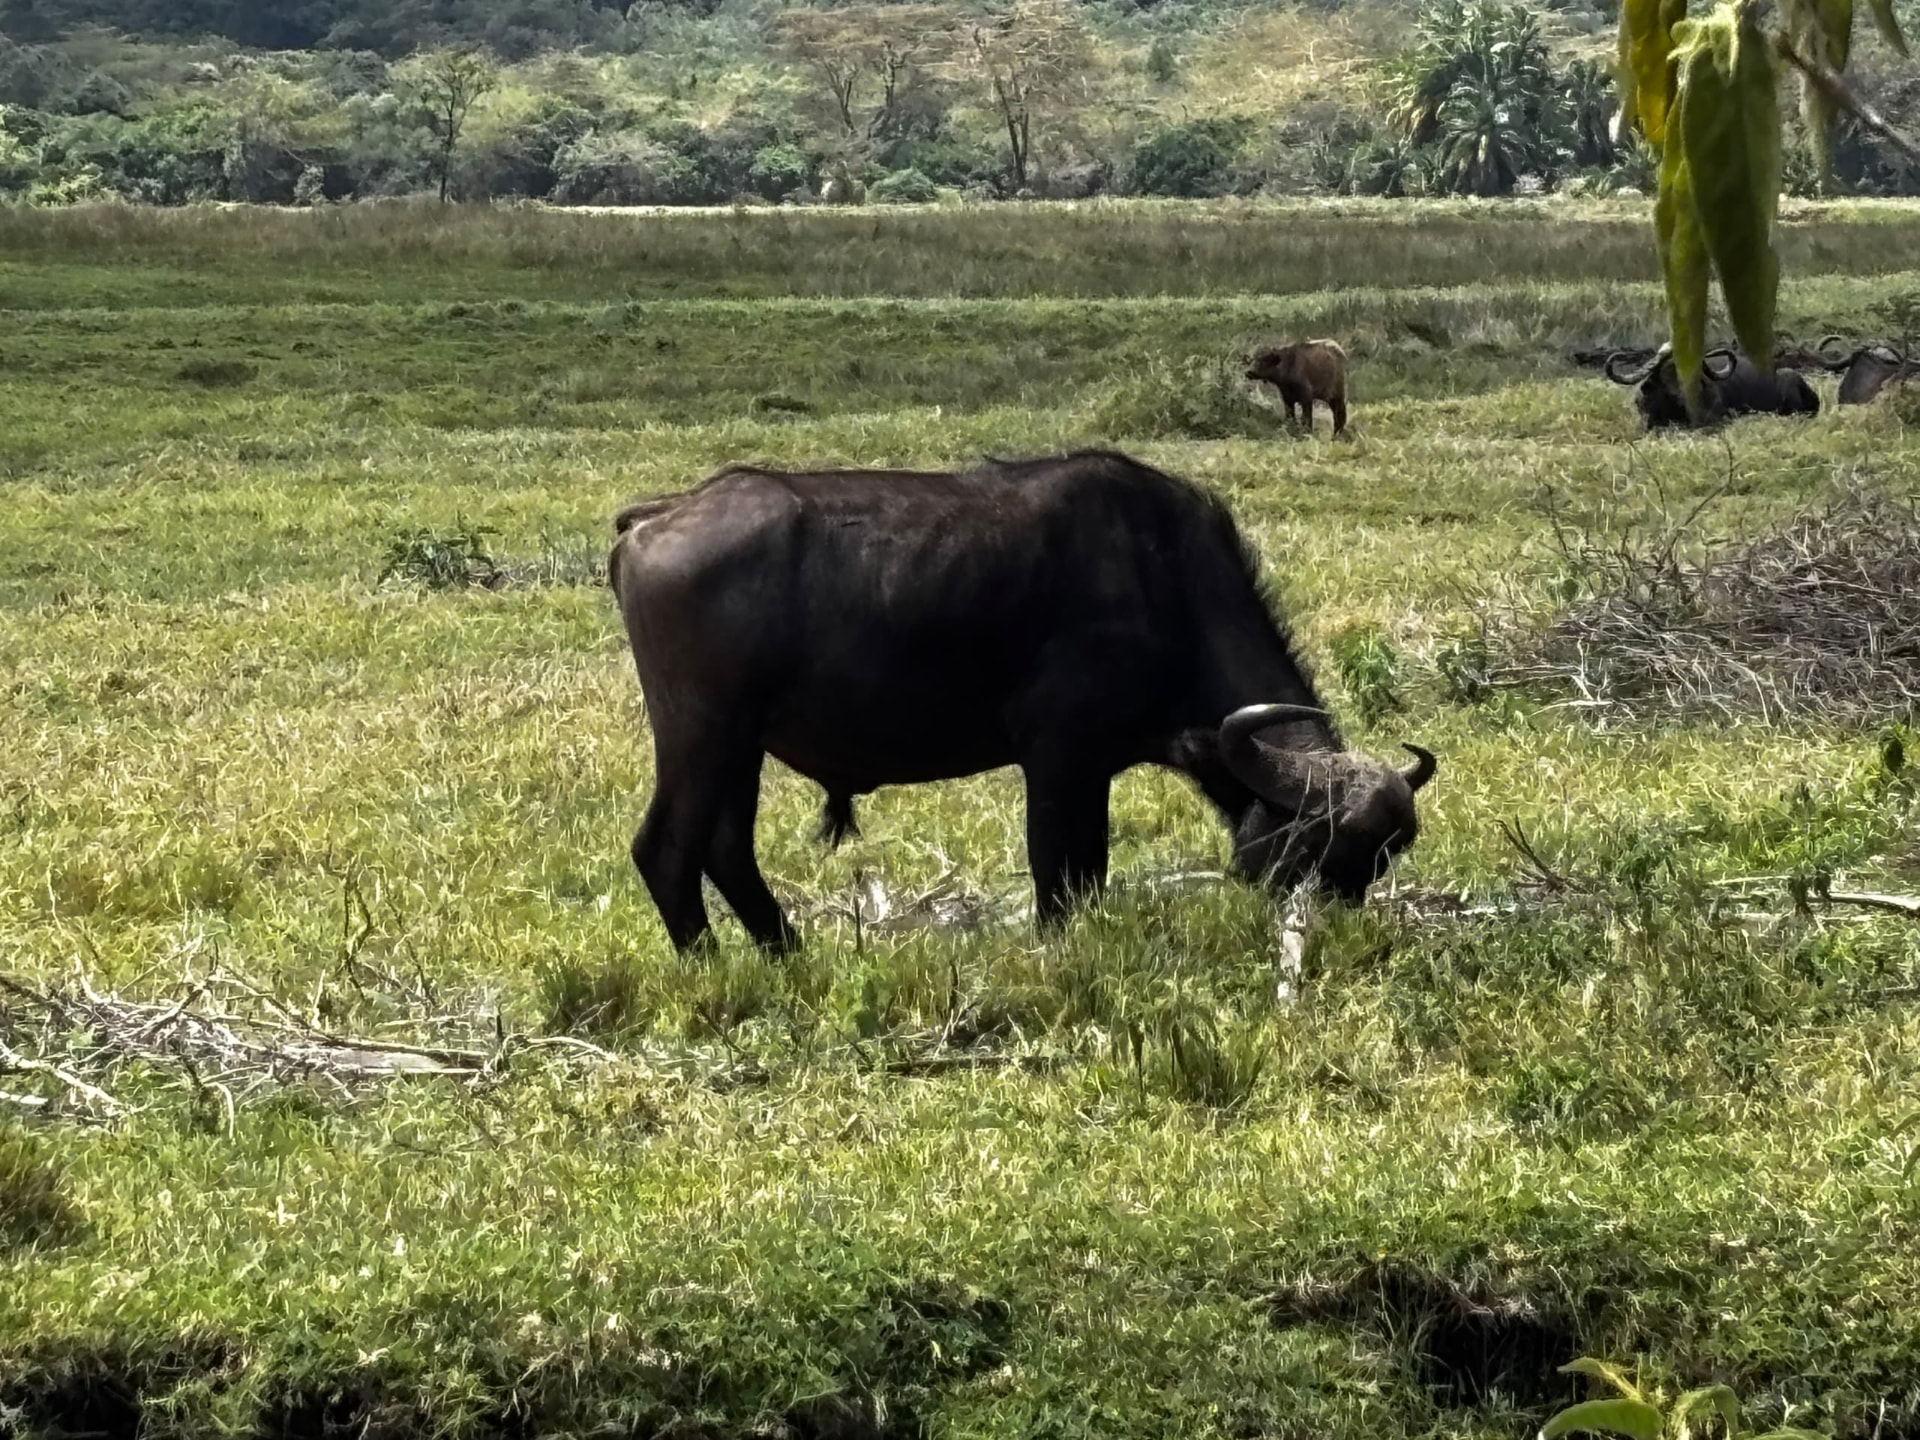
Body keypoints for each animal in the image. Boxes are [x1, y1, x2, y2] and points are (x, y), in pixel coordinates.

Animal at [608, 450, 1436, 952]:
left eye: (1374, 866)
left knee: (726, 847)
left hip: (740, 745)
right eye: (1317, 852)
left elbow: (1087, 870)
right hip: (700, 732)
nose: (1332, 934)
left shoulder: (1094, 770)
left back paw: (788, 954)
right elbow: (1059, 872)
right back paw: (712, 965)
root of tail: (659, 516)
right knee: (667, 849)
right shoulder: (1059, 758)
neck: (1164, 583)